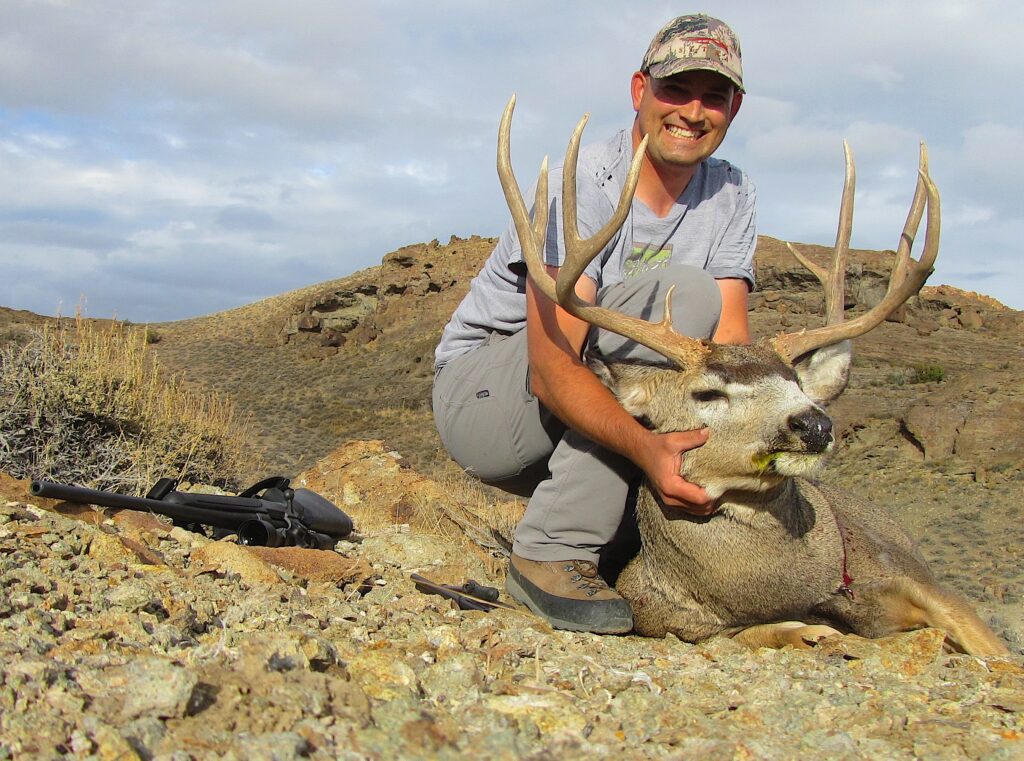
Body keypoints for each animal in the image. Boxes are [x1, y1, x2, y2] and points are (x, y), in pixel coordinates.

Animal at [497, 95, 1009, 656]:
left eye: (796, 384)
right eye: (707, 393)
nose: (814, 424)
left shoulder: (917, 578)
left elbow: (994, 650)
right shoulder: (674, 620)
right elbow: (763, 633)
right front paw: (813, 632)